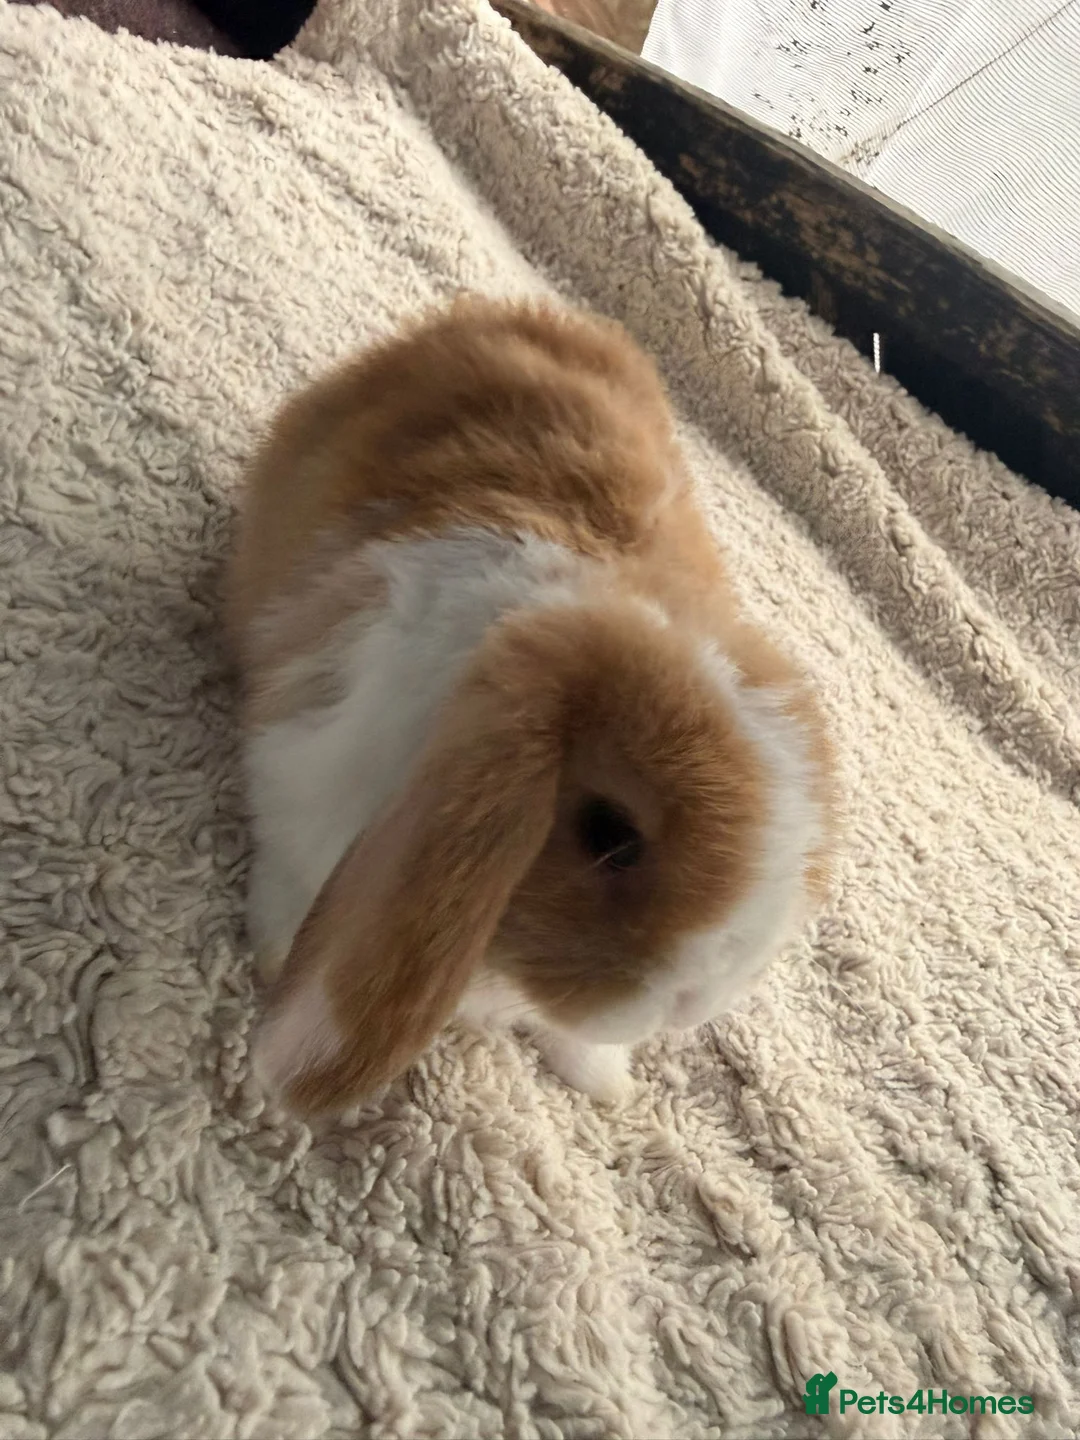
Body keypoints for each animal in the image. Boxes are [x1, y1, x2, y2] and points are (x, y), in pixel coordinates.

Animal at [225, 295, 835, 1118]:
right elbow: (287, 885)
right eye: (609, 834)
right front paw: (270, 960)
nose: (691, 1003)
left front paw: (607, 1086)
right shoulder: (303, 775)